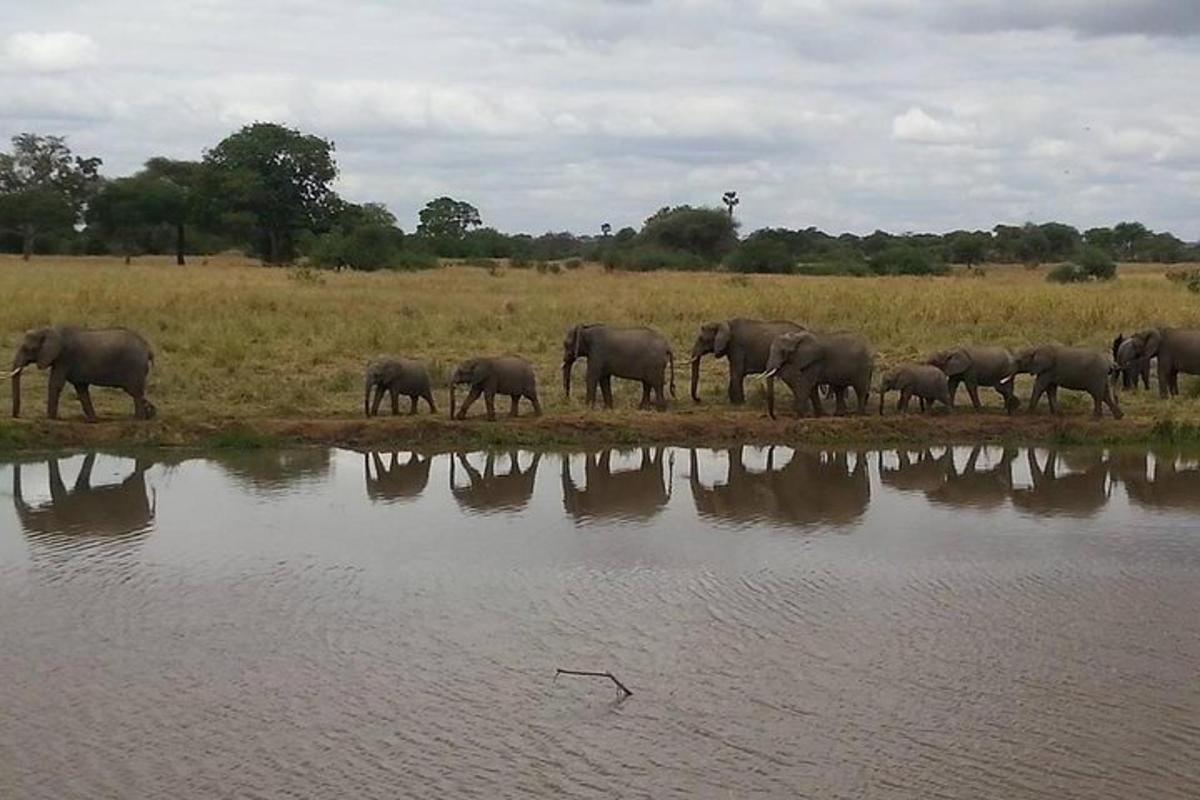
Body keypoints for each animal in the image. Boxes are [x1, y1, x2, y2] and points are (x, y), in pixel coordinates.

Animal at [8, 326, 157, 424]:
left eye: (28, 349)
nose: (17, 417)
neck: (49, 330)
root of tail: (148, 348)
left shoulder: (64, 358)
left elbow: (55, 384)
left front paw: (50, 419)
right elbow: (81, 389)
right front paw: (93, 420)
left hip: (134, 366)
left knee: (135, 392)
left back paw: (138, 419)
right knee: (137, 393)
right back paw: (151, 413)